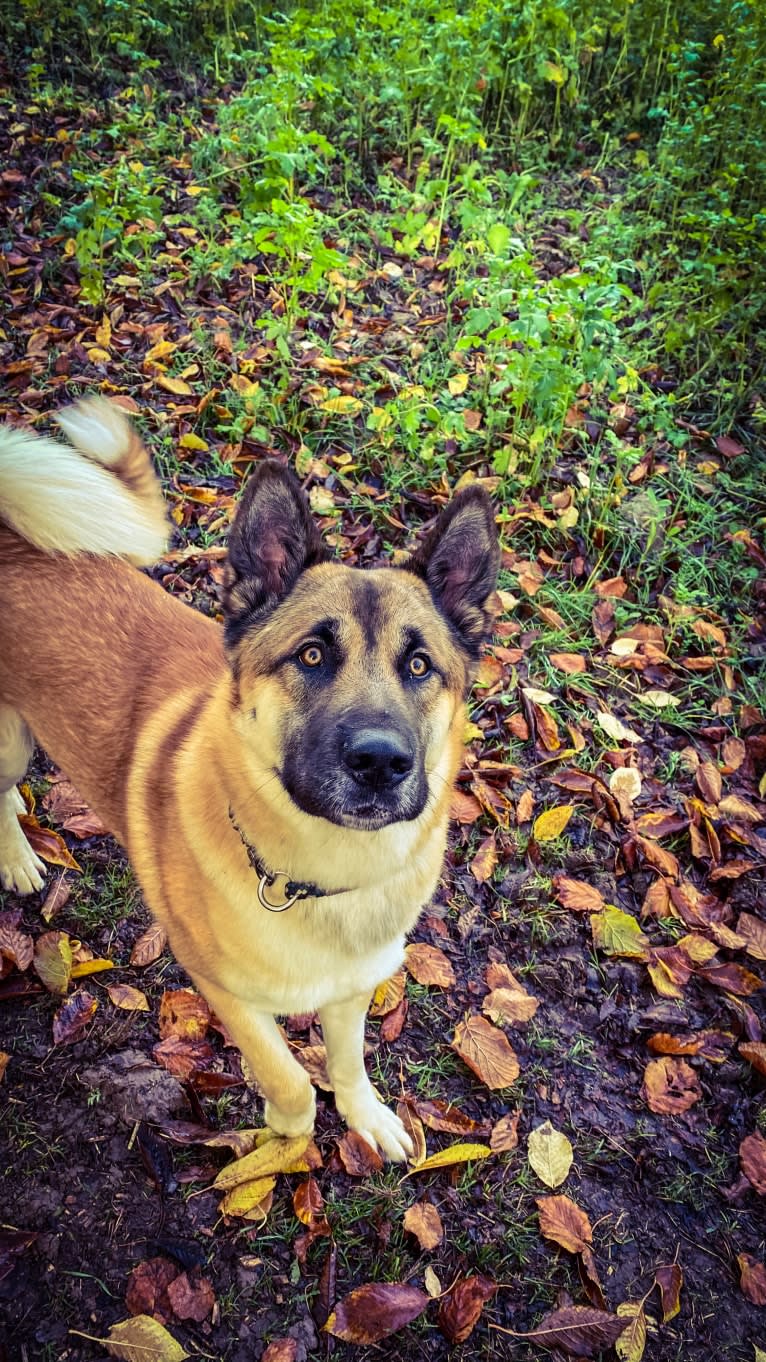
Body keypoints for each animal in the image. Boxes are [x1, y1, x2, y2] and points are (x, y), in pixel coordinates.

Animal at [0, 397, 498, 1160]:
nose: (380, 763)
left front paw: (366, 1115)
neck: (323, 880)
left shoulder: (354, 989)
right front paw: (282, 1136)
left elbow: (347, 1064)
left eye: (419, 666)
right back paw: (18, 857)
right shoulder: (221, 990)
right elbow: (290, 1080)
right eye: (313, 655)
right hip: (10, 744)